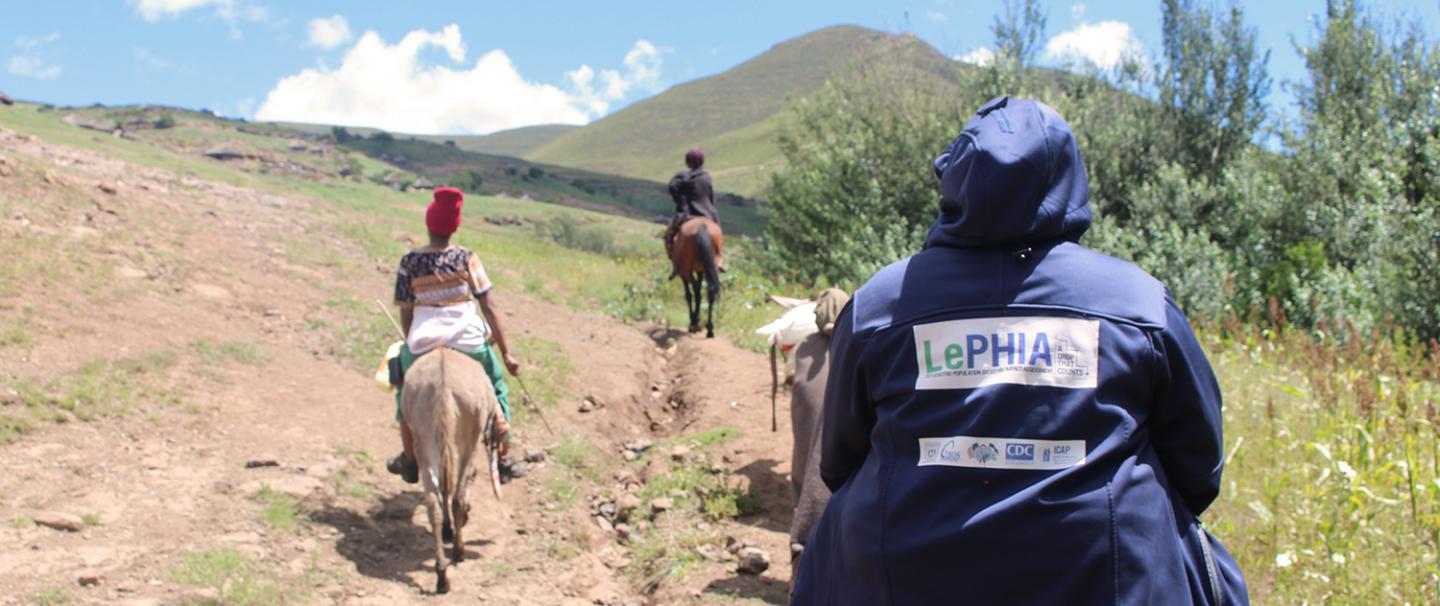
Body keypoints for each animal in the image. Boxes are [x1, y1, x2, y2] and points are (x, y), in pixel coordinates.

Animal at [397, 346, 504, 593]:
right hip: (468, 441)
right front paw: (462, 520)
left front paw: (448, 528)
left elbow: (444, 489)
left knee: (433, 501)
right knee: (457, 494)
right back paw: (458, 551)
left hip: (424, 440)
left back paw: (441, 574)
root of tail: (443, 383)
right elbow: (464, 484)